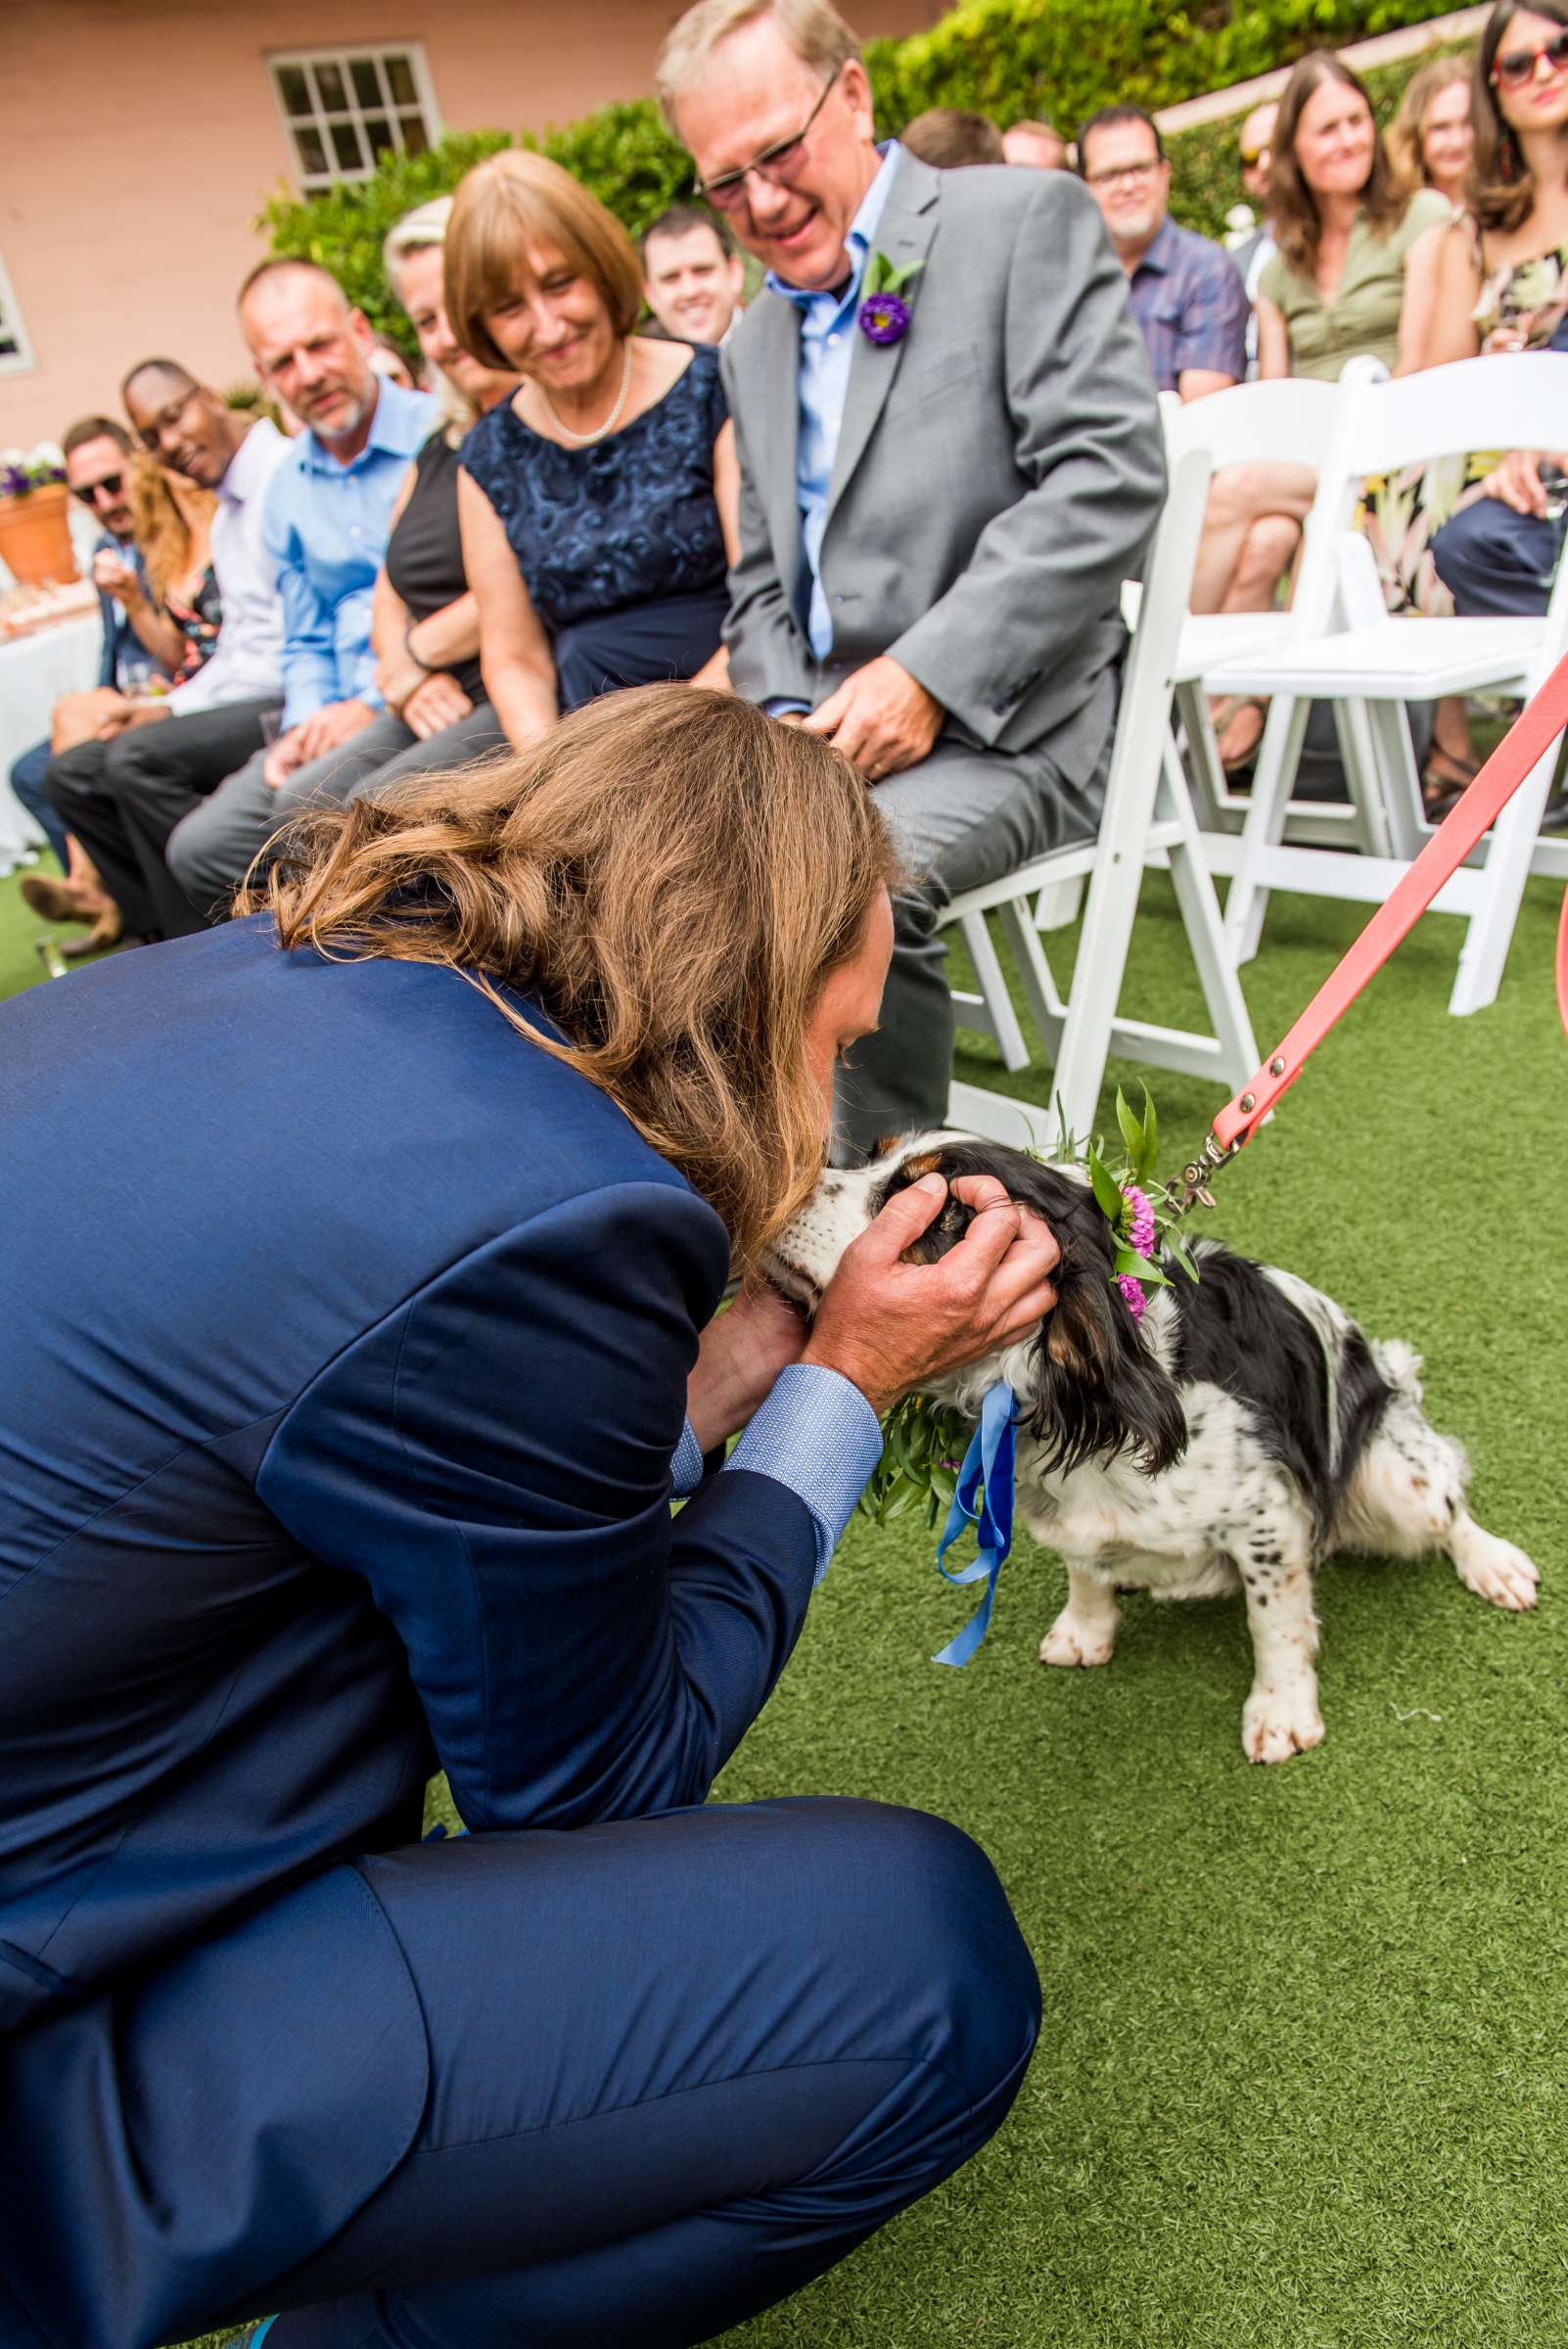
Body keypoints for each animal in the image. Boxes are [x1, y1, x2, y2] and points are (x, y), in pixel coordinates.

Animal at [764, 1131, 1540, 1766]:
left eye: (943, 1209)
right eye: (871, 1155)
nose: (783, 1182)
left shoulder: (1268, 1517)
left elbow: (1276, 1619)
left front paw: (1282, 1710)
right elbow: (1084, 1567)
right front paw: (1086, 1629)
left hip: (1397, 1475)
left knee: (1447, 1503)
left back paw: (1494, 1563)